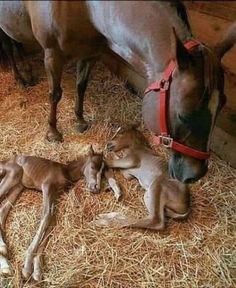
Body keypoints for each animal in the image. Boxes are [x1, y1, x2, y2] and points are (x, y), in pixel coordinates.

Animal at [0, 1, 225, 183]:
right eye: (184, 116)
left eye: (221, 105)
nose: (194, 175)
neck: (85, 7)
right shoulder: (52, 54)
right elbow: (55, 94)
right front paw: (53, 132)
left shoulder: (90, 54)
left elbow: (81, 86)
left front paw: (79, 121)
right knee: (8, 47)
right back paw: (20, 79)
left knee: (16, 43)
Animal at [0, 146, 107, 282]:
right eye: (93, 166)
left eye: (103, 173)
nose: (96, 188)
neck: (66, 171)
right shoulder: (47, 186)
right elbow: (46, 216)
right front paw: (27, 268)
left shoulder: (55, 194)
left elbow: (51, 220)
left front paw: (37, 271)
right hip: (13, 173)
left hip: (18, 186)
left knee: (2, 211)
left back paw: (4, 260)